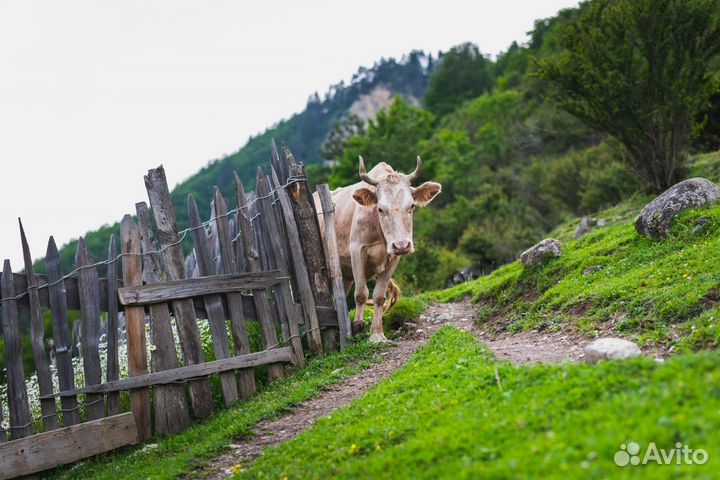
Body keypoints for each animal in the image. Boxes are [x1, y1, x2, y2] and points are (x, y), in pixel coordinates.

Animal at [316, 157, 442, 342]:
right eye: (381, 209)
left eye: (412, 206)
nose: (402, 245)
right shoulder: (357, 251)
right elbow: (361, 293)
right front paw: (358, 326)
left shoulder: (394, 257)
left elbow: (379, 296)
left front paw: (377, 334)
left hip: (344, 275)